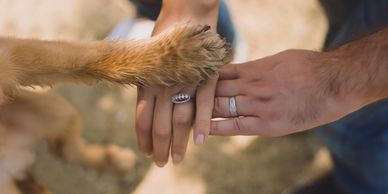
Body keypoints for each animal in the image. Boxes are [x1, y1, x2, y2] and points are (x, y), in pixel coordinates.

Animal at [0, 24, 230, 194]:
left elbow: (88, 57)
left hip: (57, 109)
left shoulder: (10, 55)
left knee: (66, 150)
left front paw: (178, 56)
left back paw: (115, 161)